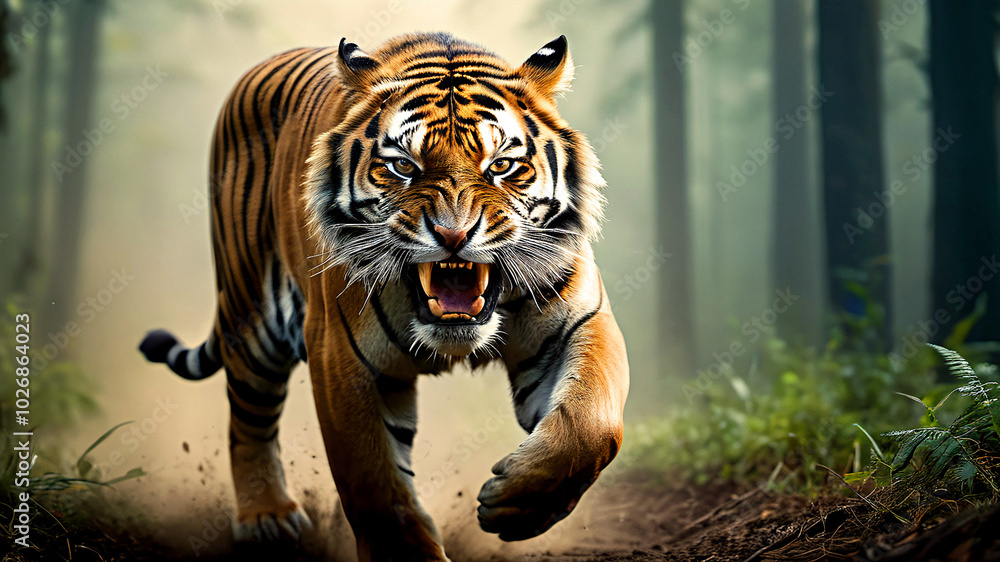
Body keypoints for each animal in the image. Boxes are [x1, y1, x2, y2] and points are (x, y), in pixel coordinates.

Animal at [139, 32, 629, 561]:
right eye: (402, 166)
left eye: (501, 166)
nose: (453, 234)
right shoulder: (342, 357)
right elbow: (374, 483)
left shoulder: (579, 323)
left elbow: (592, 423)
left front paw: (520, 505)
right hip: (252, 320)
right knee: (248, 420)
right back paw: (267, 517)